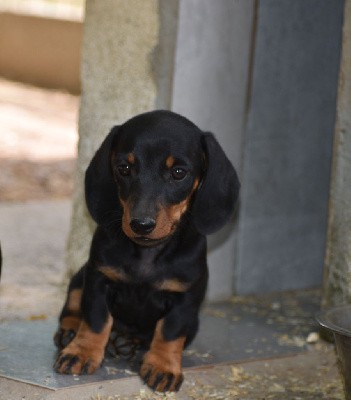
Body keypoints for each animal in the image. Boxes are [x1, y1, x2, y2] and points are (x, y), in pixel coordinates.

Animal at [53, 111, 241, 392]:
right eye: (124, 168)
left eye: (178, 172)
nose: (141, 224)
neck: (147, 253)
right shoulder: (98, 279)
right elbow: (96, 320)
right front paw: (82, 352)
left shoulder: (184, 298)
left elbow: (170, 332)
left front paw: (163, 366)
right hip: (80, 277)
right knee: (73, 306)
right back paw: (72, 333)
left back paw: (127, 343)